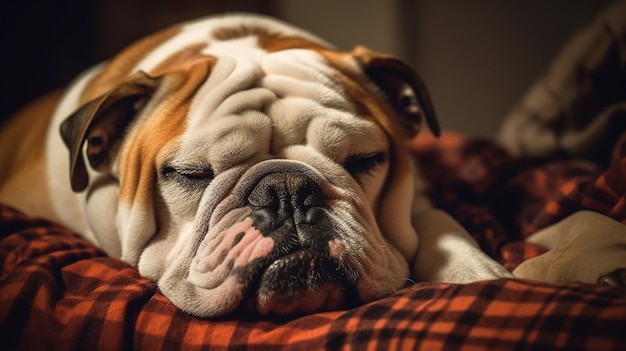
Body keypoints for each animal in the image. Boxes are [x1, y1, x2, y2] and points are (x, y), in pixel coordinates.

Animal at [0, 13, 510, 318]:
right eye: (191, 174)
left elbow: (438, 223)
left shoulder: (419, 193)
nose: (288, 189)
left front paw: (474, 272)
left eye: (364, 160)